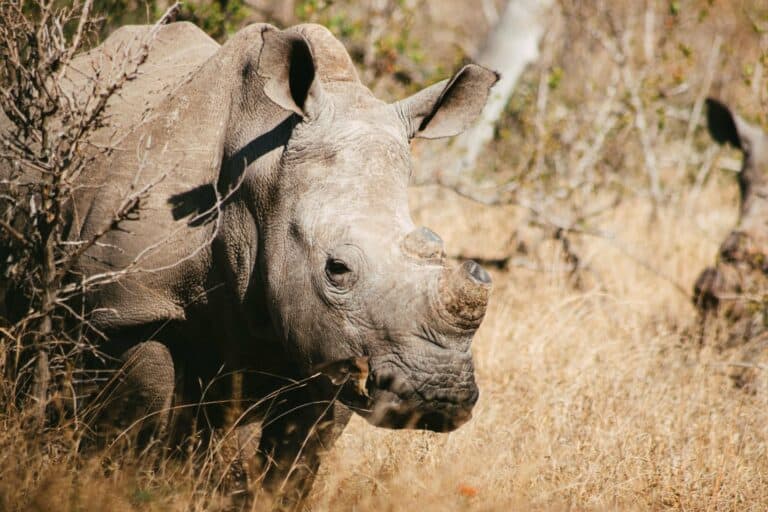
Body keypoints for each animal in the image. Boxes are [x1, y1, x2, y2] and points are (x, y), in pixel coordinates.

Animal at [1, 21, 498, 505]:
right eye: (336, 269)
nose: (440, 395)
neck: (263, 187)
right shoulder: (130, 308)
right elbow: (131, 428)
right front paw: (114, 489)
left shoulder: (336, 344)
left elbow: (294, 464)